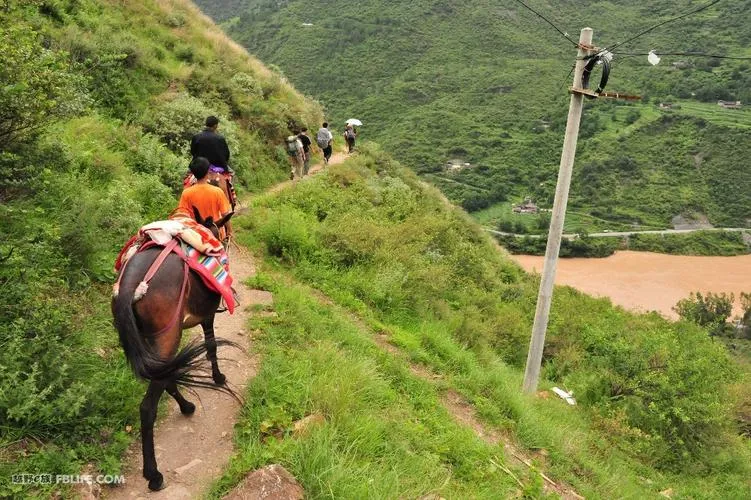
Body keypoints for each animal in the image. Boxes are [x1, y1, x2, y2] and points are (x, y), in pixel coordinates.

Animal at [111, 209, 234, 490]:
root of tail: (130, 287)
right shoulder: (207, 315)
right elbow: (211, 346)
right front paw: (218, 377)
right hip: (168, 336)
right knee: (147, 407)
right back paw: (153, 474)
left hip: (153, 341)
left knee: (164, 375)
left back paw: (186, 406)